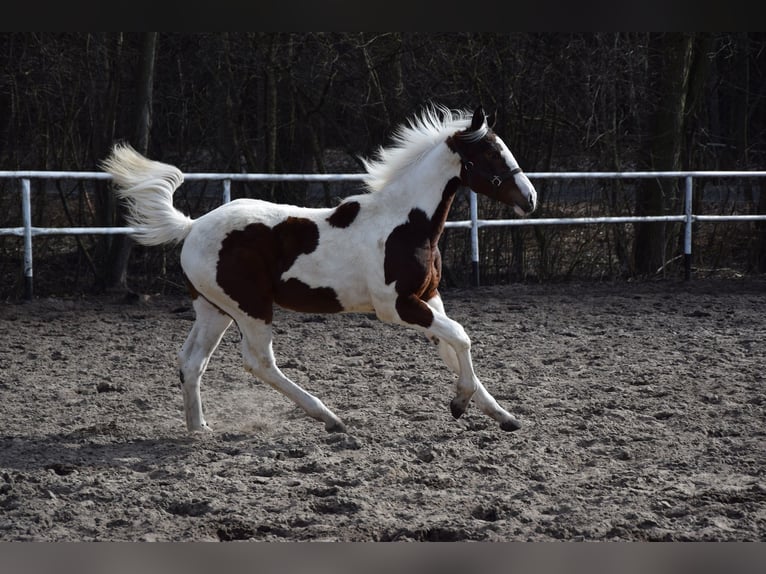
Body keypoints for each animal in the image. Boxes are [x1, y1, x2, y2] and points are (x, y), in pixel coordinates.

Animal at [101, 104, 537, 435]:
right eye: (491, 154)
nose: (530, 199)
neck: (406, 223)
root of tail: (191, 227)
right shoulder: (397, 306)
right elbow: (462, 337)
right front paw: (459, 403)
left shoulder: (429, 299)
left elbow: (452, 347)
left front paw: (502, 416)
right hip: (251, 309)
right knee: (259, 361)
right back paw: (329, 418)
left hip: (214, 310)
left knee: (192, 361)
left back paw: (199, 429)